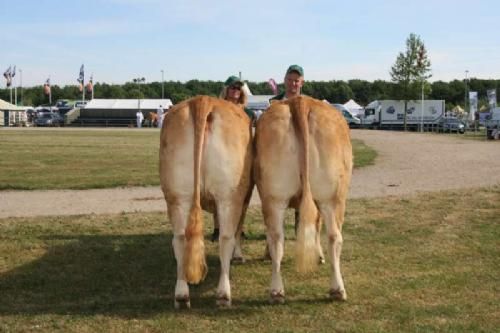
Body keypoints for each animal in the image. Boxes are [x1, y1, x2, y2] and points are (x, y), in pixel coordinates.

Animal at [160, 94, 254, 308]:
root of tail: (203, 100)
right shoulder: (244, 198)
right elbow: (238, 229)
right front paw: (239, 256)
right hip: (229, 196)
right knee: (226, 238)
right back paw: (223, 294)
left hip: (176, 196)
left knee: (179, 238)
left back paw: (182, 295)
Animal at [256, 94, 354, 302]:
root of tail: (300, 101)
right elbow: (316, 225)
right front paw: (319, 256)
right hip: (333, 197)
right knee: (334, 236)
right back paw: (337, 289)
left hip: (273, 196)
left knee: (276, 237)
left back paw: (276, 291)